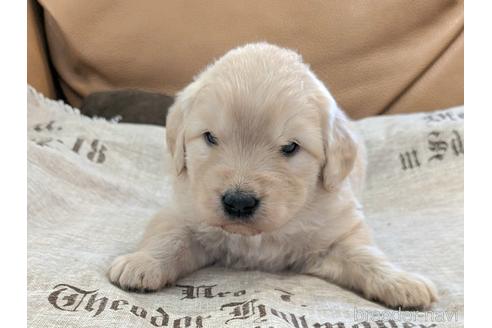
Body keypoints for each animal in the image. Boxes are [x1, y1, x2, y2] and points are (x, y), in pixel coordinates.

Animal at [107, 42, 438, 308]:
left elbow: (365, 255)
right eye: (210, 137)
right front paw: (142, 262)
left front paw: (400, 281)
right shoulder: (184, 210)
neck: (257, 238)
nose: (238, 202)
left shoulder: (336, 233)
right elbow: (169, 237)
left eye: (290, 147)